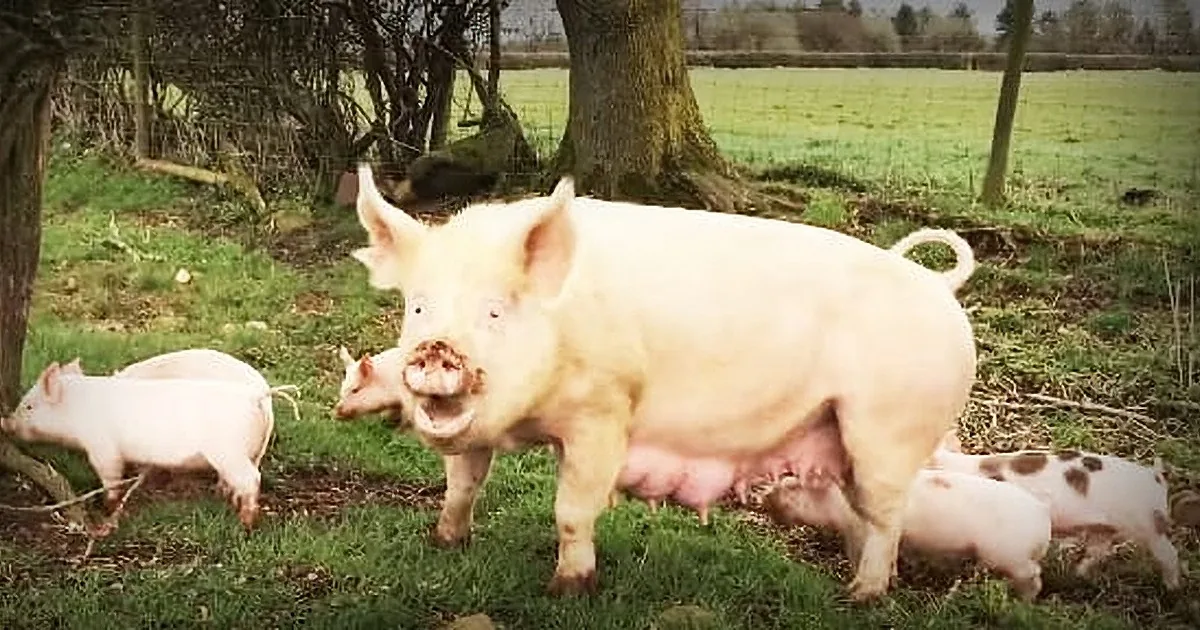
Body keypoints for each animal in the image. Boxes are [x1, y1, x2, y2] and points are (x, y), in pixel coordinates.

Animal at [0, 361, 292, 531]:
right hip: (247, 452)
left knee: (252, 479)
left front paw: (108, 508)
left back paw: (246, 523)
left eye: (29, 406)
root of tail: (256, 395)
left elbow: (110, 476)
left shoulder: (102, 447)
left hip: (228, 452)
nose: (5, 422)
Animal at [349, 164, 978, 601]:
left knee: (887, 516)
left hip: (889, 430)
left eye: (496, 311)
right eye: (419, 307)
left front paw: (568, 589)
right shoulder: (474, 435)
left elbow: (572, 509)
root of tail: (940, 287)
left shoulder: (603, 412)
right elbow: (462, 486)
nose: (436, 349)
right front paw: (444, 543)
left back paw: (861, 596)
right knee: (875, 517)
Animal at [764, 469, 1052, 601]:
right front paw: (894, 579)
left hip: (1010, 555)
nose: (764, 498)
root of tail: (1043, 517)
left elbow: (859, 555)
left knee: (1034, 576)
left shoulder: (857, 531)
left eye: (792, 486)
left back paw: (1024, 601)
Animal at [929, 430, 1181, 589]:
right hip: (1103, 528)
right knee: (1099, 551)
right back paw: (1078, 575)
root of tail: (1155, 477)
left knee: (1169, 554)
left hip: (1149, 524)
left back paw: (1172, 588)